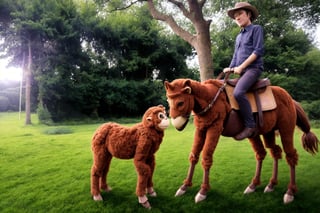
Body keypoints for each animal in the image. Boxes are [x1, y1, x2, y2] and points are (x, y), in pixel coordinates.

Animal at [164, 74, 318, 204]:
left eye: (180, 103)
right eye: (168, 101)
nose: (176, 124)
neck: (210, 100)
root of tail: (290, 99)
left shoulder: (214, 128)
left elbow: (206, 157)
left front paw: (202, 191)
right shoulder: (201, 129)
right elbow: (194, 155)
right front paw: (184, 187)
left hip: (286, 129)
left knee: (290, 155)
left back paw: (290, 192)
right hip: (264, 132)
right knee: (270, 152)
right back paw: (264, 185)